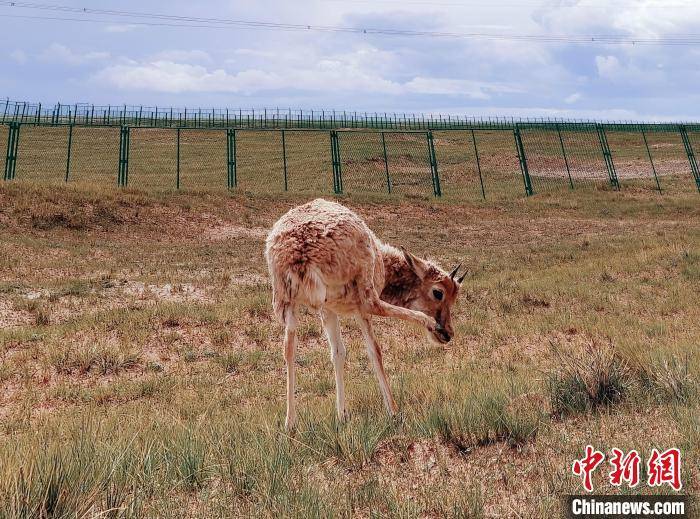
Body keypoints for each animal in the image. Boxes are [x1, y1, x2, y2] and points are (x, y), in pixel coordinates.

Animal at [264, 199, 464, 430]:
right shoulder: (356, 307)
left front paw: (341, 415)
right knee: (375, 309)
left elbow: (338, 353)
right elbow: (374, 351)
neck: (385, 262)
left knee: (288, 348)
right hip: (362, 288)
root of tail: (298, 249)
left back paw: (290, 422)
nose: (448, 333)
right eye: (438, 292)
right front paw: (392, 412)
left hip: (285, 302)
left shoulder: (328, 309)